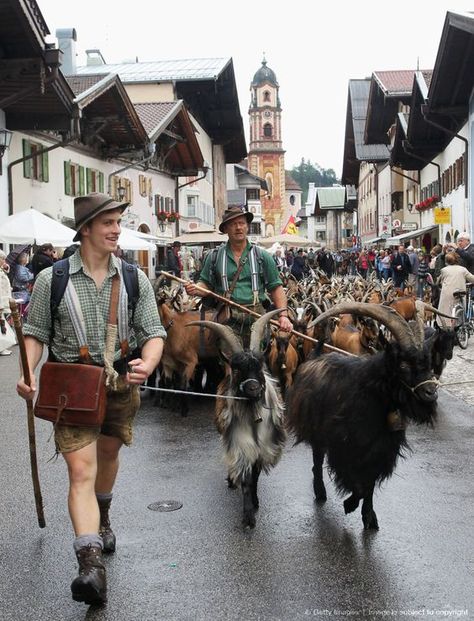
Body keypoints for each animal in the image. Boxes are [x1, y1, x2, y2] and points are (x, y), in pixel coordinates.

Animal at [188, 310, 286, 528]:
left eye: (260, 367)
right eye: (237, 368)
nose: (254, 388)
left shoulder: (262, 447)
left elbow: (255, 476)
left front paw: (256, 502)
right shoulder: (242, 445)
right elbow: (247, 479)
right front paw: (248, 517)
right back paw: (232, 481)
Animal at [286, 300, 436, 528]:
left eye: (427, 362)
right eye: (403, 364)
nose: (431, 392)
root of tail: (316, 355)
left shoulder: (380, 452)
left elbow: (369, 485)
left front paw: (369, 517)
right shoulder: (345, 448)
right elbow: (359, 485)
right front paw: (350, 505)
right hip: (316, 432)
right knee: (317, 461)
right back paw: (320, 492)